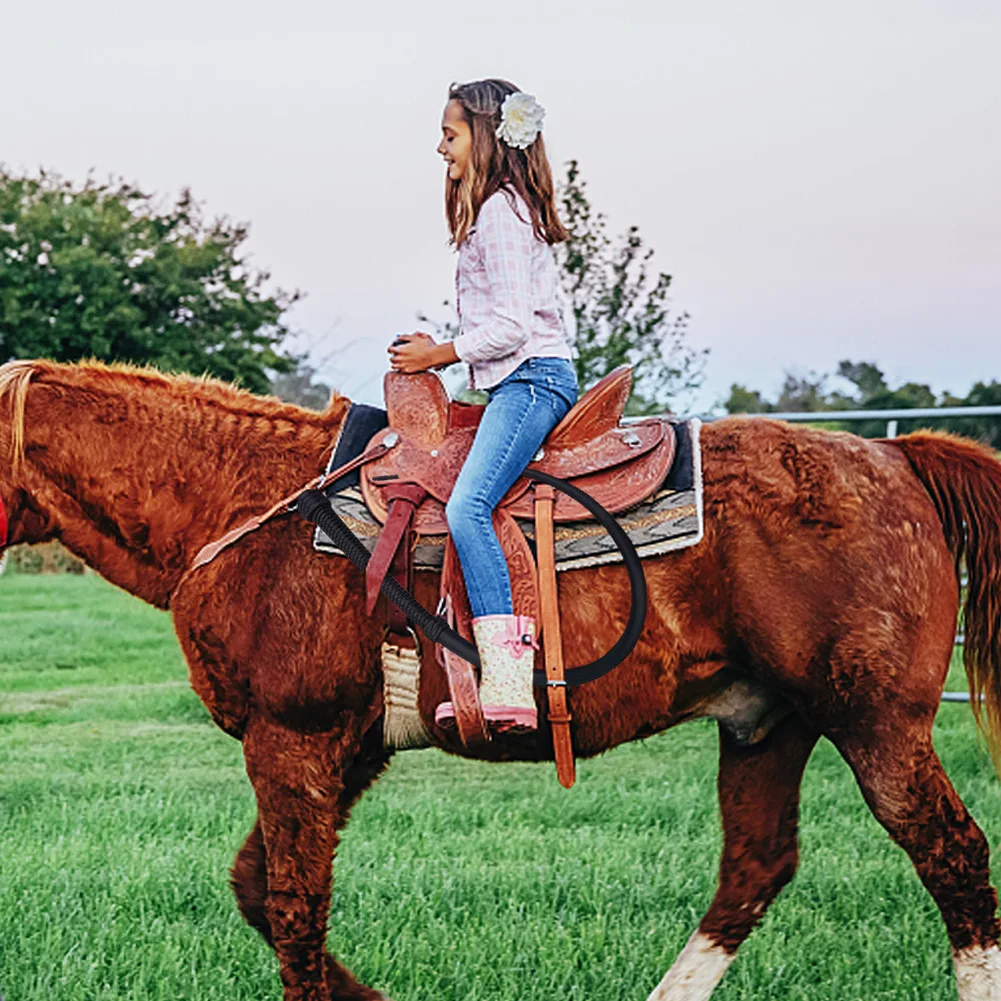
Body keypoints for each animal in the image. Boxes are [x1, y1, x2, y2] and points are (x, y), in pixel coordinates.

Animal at [1, 357, 1000, 1001]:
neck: (249, 506)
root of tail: (896, 457)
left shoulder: (295, 740)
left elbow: (291, 913)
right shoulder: (346, 748)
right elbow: (261, 891)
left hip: (877, 726)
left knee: (954, 861)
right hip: (765, 724)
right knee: (753, 870)